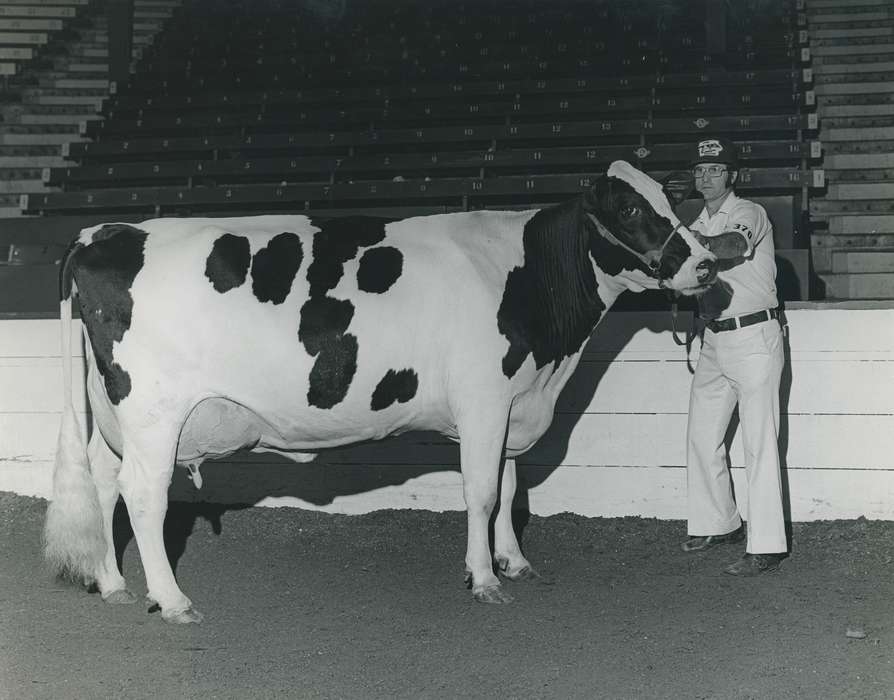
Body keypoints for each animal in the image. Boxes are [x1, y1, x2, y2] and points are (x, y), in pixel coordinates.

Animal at [44, 161, 717, 624]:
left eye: (671, 200)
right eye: (630, 210)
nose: (707, 264)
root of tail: (102, 231)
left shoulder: (511, 404)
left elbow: (508, 489)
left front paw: (514, 561)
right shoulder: (482, 399)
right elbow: (481, 494)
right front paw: (483, 578)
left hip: (114, 414)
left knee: (104, 483)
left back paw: (113, 584)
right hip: (154, 412)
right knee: (143, 495)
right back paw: (173, 600)